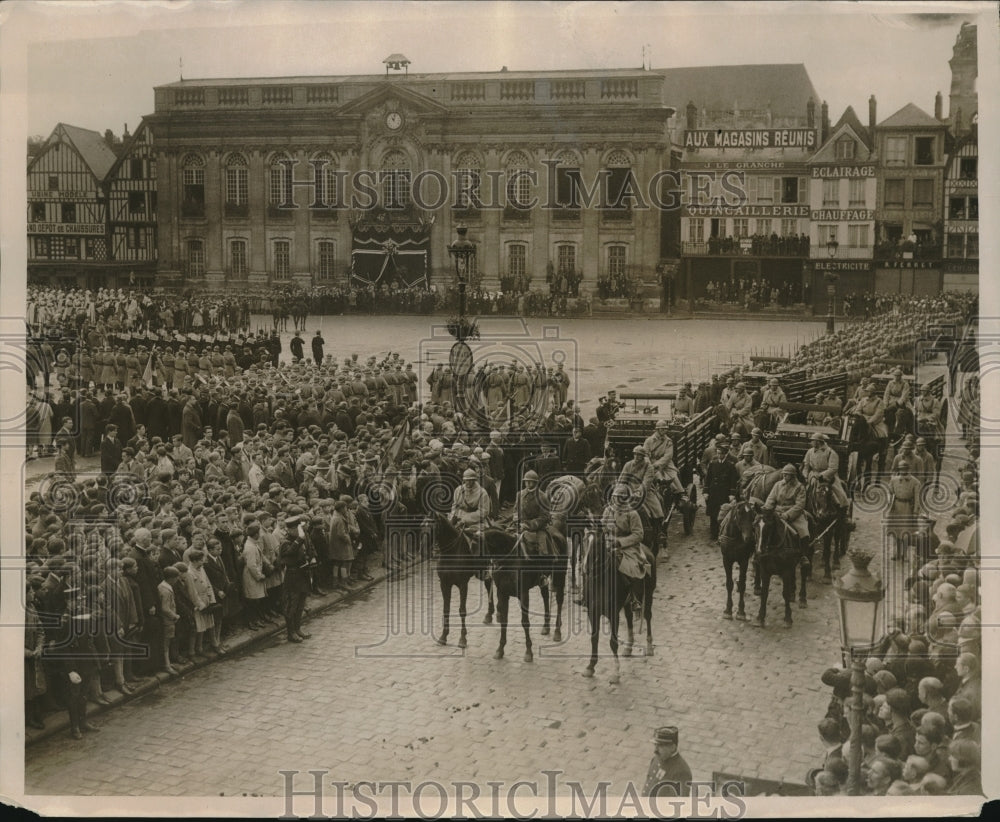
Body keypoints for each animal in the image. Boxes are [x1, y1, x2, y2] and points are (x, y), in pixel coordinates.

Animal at [580, 524, 656, 684]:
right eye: (584, 541)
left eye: (598, 543)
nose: (584, 568)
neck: (600, 581)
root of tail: (646, 549)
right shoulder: (593, 612)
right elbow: (594, 638)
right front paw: (590, 667)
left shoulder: (613, 614)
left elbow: (613, 642)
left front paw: (615, 673)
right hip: (627, 603)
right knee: (629, 618)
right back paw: (628, 647)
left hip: (649, 593)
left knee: (647, 616)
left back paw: (649, 646)